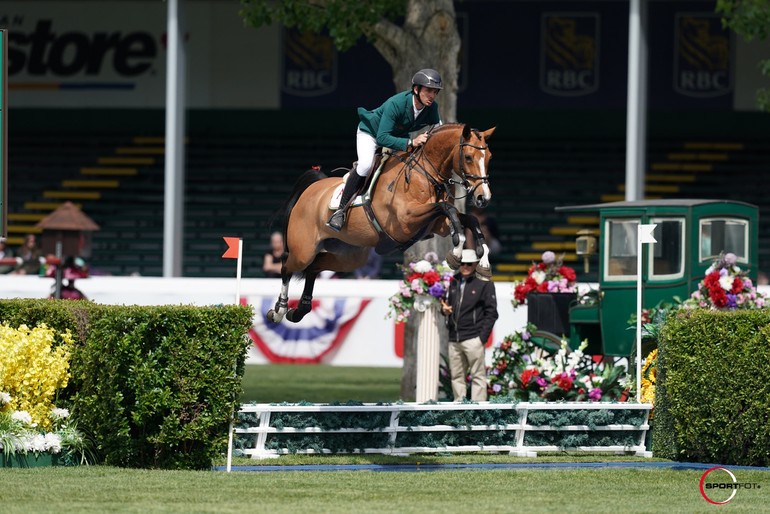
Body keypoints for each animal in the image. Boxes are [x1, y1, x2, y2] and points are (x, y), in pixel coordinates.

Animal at [268, 122, 496, 322]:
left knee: (314, 267)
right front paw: (456, 253)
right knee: (287, 265)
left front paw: (483, 262)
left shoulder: (436, 225)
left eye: (489, 158)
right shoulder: (406, 220)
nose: (483, 198)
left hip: (349, 256)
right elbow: (448, 209)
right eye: (468, 157)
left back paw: (299, 311)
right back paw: (279, 310)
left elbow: (467, 218)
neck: (426, 174)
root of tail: (311, 189)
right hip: (303, 251)